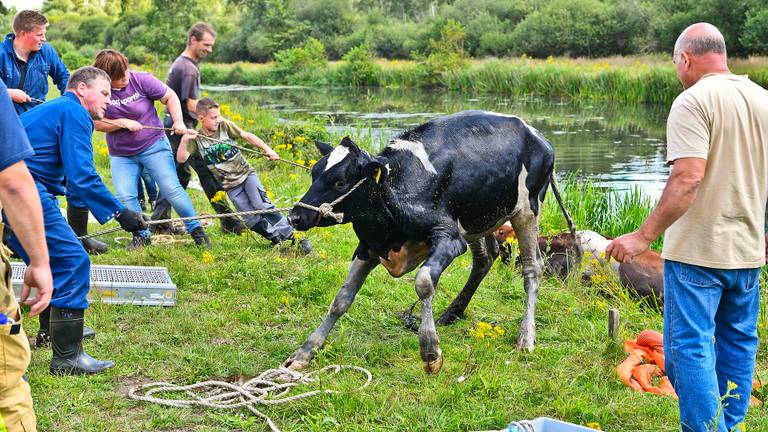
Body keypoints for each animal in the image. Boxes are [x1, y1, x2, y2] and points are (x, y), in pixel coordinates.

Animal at [284, 109, 572, 372]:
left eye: (340, 182)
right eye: (314, 172)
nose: (295, 216)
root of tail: (537, 135)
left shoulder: (450, 238)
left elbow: (423, 283)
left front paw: (430, 350)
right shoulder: (368, 247)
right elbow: (341, 299)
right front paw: (305, 352)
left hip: (527, 209)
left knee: (532, 267)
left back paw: (526, 337)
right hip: (478, 217)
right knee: (485, 257)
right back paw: (452, 313)